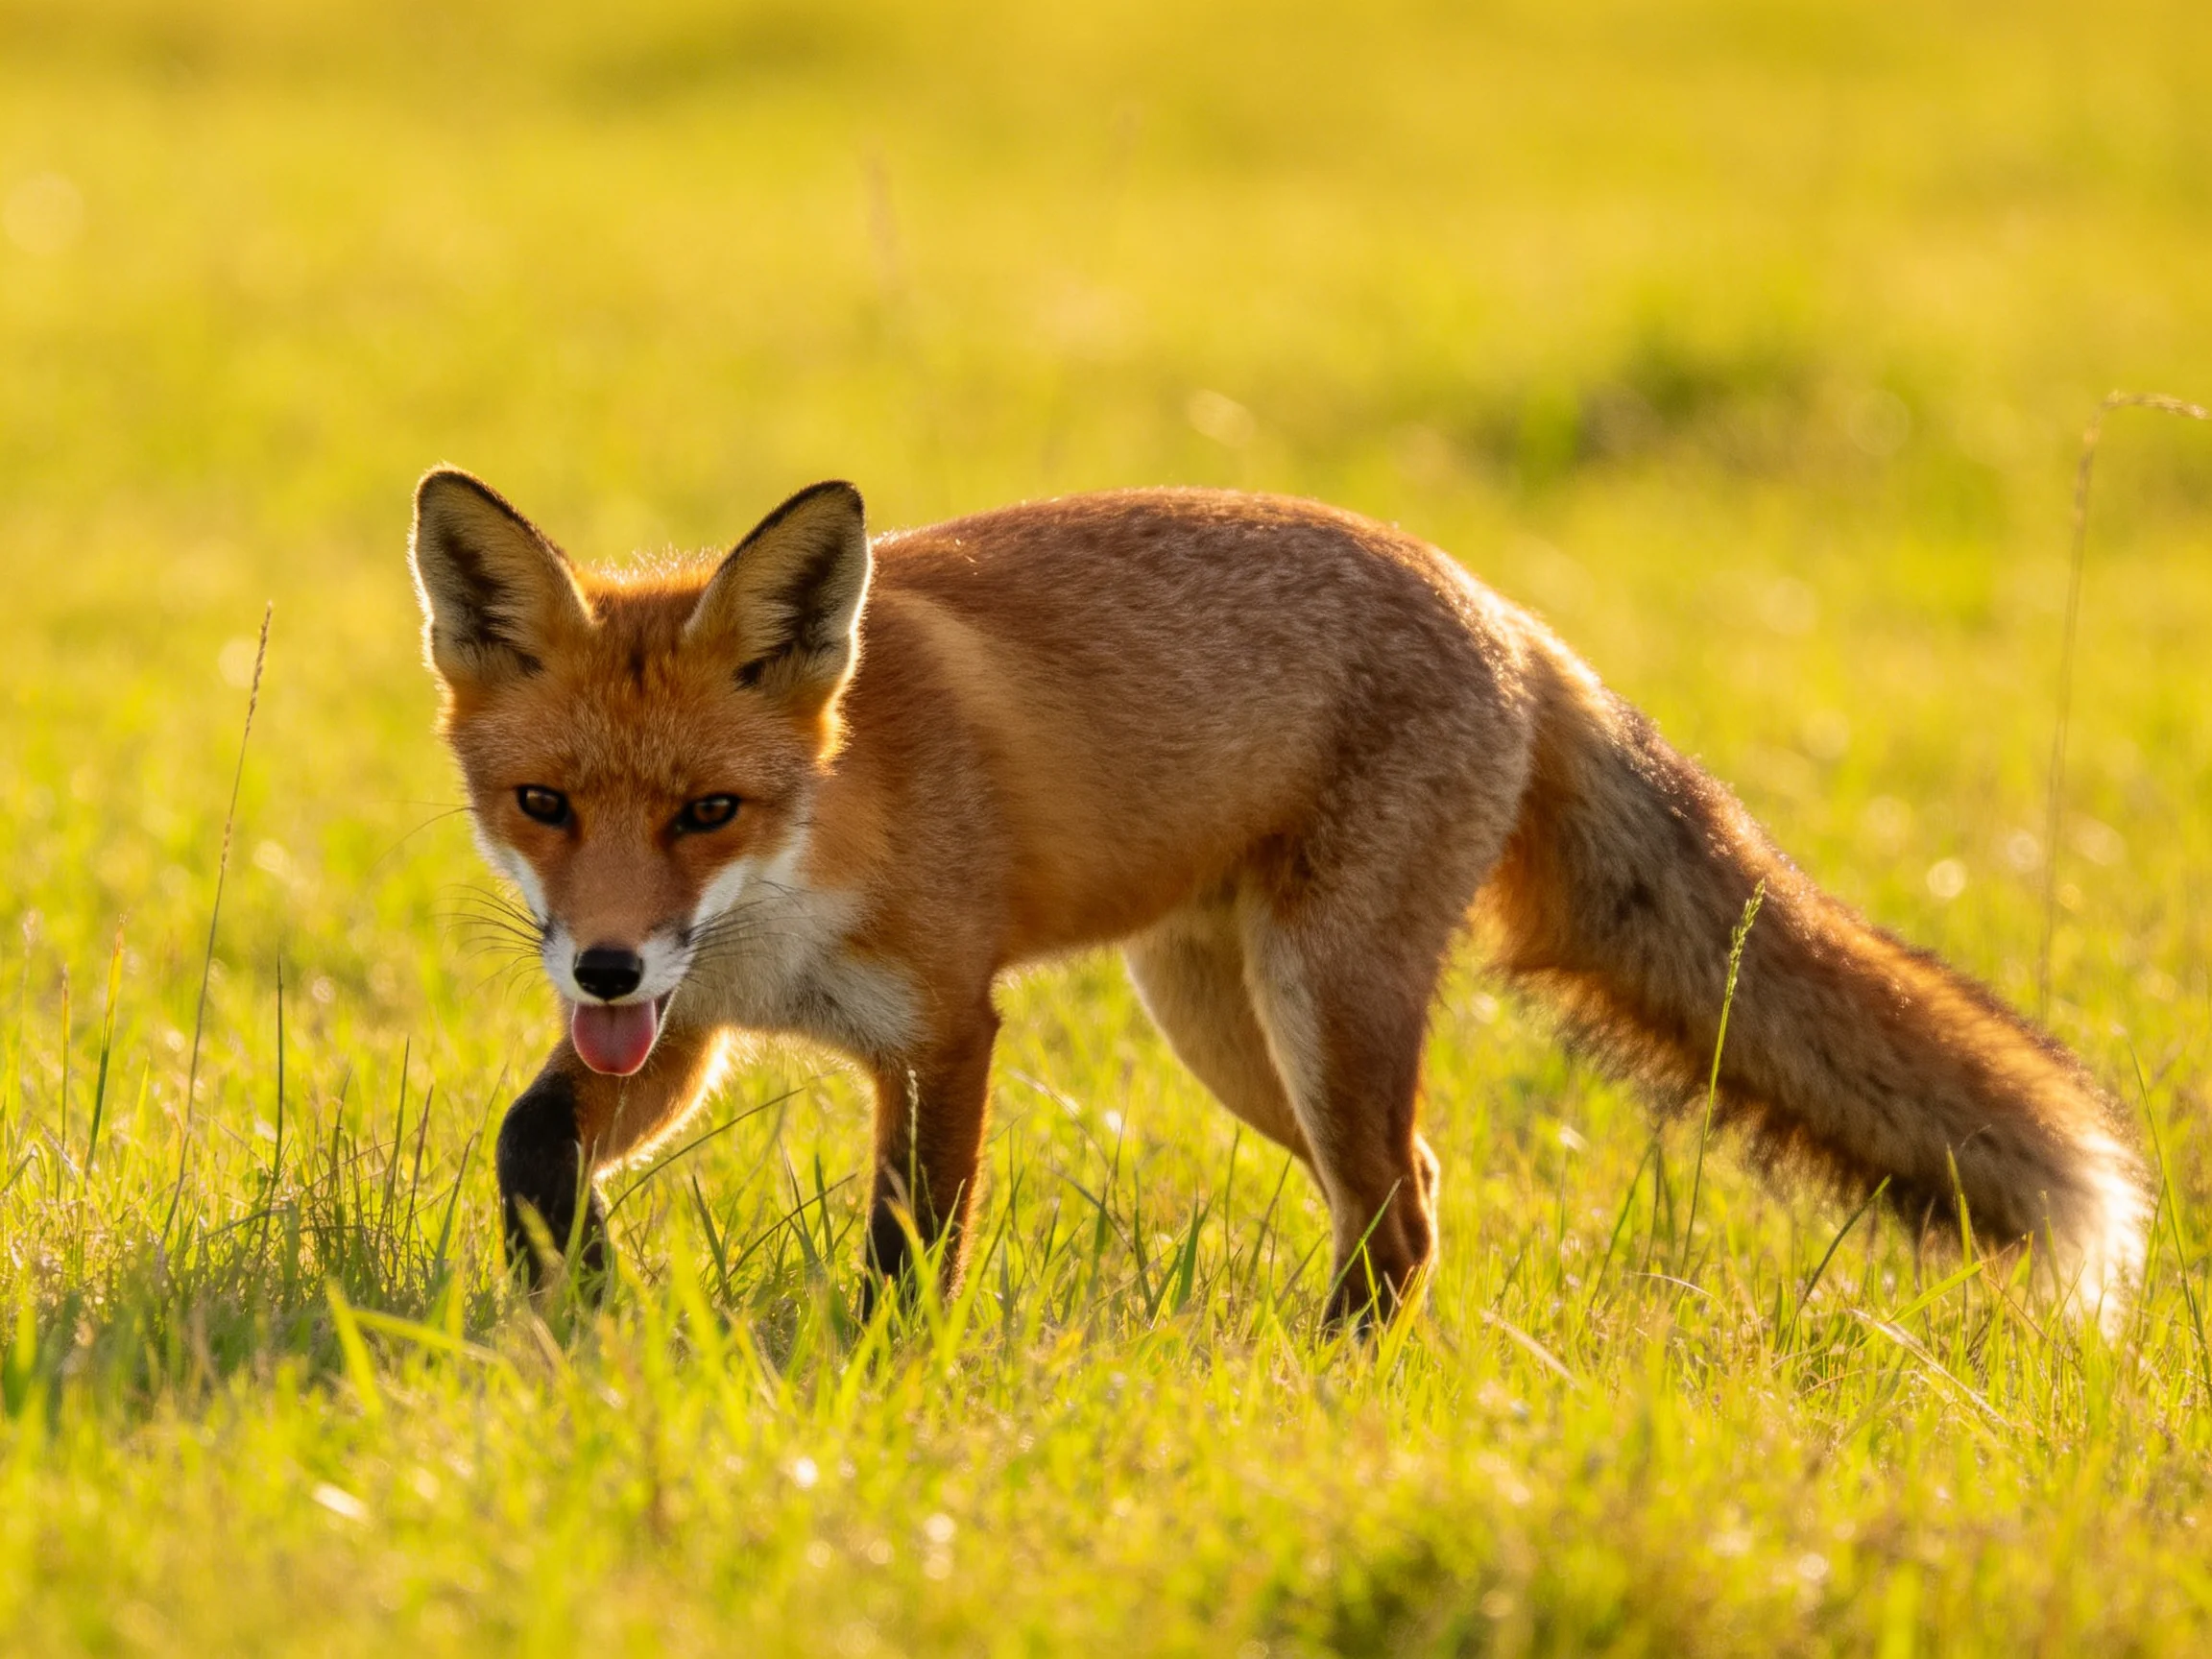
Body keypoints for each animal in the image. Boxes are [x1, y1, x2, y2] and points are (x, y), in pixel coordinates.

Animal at [408, 468, 2148, 1325]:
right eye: (543, 805)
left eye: (710, 809)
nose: (607, 963)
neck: (810, 849)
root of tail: (1502, 609)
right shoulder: (690, 1028)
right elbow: (529, 1141)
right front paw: (580, 1291)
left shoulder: (942, 1028)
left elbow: (914, 1241)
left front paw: (876, 1381)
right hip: (1221, 1027)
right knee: (1413, 1190)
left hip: (1322, 1002)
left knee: (1398, 1211)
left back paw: (1332, 1393)